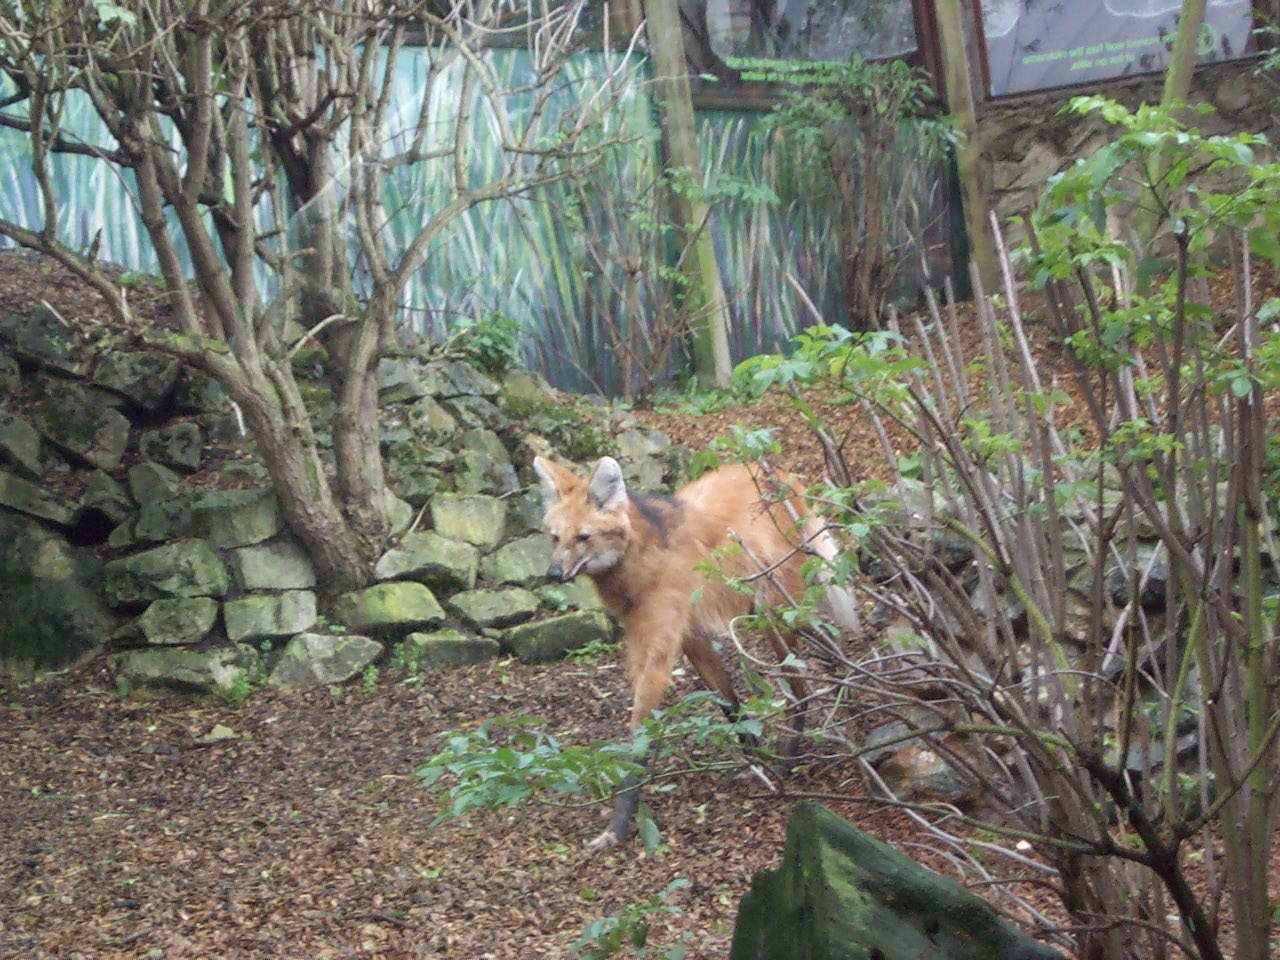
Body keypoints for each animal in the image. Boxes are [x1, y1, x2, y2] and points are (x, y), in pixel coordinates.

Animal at [531, 454, 859, 850]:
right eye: (554, 537)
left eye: (583, 537)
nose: (553, 573)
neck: (641, 560)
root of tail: (780, 474)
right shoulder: (690, 639)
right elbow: (730, 705)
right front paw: (756, 761)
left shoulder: (659, 655)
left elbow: (638, 741)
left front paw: (616, 827)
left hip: (774, 612)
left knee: (801, 686)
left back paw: (790, 758)